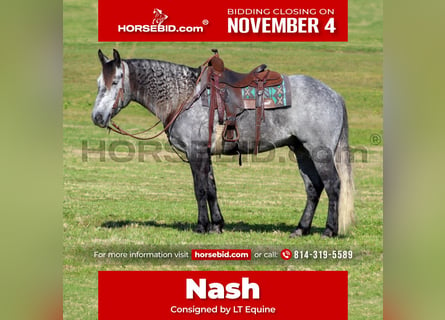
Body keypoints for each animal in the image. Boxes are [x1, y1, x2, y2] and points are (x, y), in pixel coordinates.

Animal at [91, 48, 354, 236]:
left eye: (115, 82)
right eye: (98, 83)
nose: (97, 117)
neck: (185, 95)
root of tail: (334, 95)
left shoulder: (196, 152)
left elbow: (199, 189)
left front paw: (201, 227)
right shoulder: (205, 154)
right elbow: (211, 188)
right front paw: (217, 225)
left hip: (319, 152)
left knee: (333, 185)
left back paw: (329, 231)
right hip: (301, 150)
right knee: (313, 188)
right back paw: (300, 229)